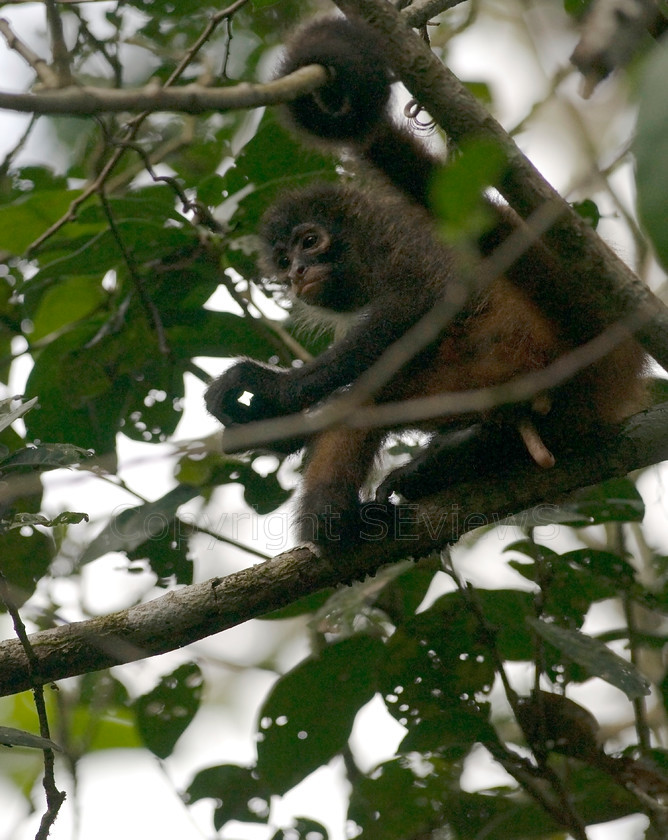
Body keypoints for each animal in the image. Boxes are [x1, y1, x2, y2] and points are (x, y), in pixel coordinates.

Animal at [206, 18, 648, 552]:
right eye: (284, 260)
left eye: (311, 241)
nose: (297, 275)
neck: (372, 237)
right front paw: (278, 431)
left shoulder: (410, 243)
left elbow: (420, 304)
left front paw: (274, 391)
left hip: (511, 352)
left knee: (372, 394)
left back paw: (333, 522)